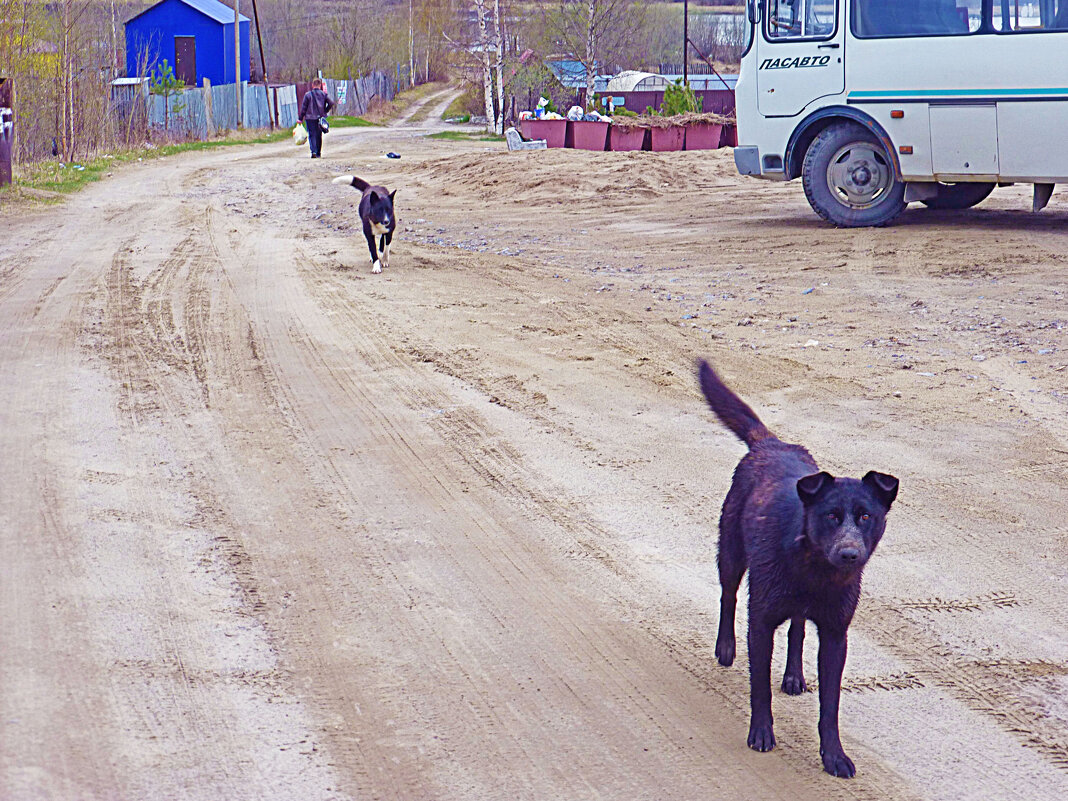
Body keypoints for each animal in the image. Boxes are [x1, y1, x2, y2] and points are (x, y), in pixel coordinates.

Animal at [696, 363, 897, 777]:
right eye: (831, 516)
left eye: (866, 516)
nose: (850, 553)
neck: (815, 571)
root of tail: (771, 444)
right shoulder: (760, 622)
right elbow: (759, 688)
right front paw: (761, 734)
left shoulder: (836, 635)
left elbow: (830, 707)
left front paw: (834, 755)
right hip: (731, 554)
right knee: (728, 595)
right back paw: (725, 647)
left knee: (799, 628)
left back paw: (793, 675)